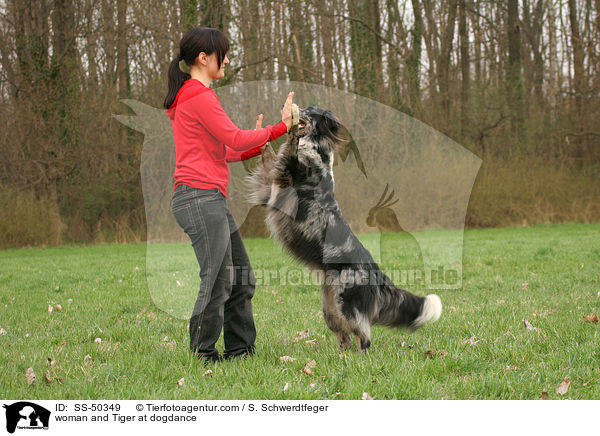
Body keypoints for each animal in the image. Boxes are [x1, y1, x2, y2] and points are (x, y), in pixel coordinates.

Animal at [244, 106, 440, 354]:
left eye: (310, 111)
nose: (295, 111)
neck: (316, 149)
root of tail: (377, 273)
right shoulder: (271, 185)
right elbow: (270, 156)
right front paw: (263, 135)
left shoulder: (285, 179)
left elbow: (290, 149)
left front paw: (292, 134)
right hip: (330, 308)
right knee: (343, 335)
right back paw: (342, 356)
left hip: (347, 304)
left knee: (364, 334)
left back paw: (360, 356)